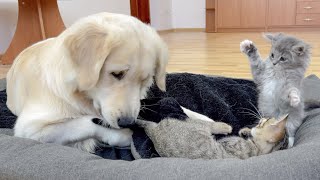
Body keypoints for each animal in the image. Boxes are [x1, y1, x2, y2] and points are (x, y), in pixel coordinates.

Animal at [6, 12, 169, 152]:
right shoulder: (28, 129)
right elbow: (84, 123)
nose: (127, 122)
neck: (80, 96)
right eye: (117, 74)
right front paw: (123, 135)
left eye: (144, 80)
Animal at [137, 116, 288, 160]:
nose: (260, 119)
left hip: (200, 126)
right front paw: (245, 131)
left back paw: (225, 127)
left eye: (264, 122)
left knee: (211, 124)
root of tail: (154, 133)